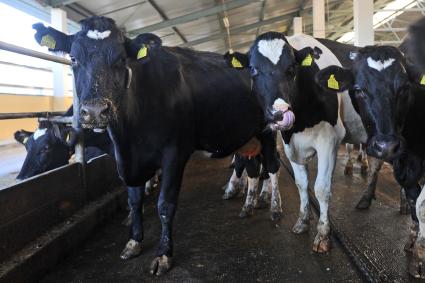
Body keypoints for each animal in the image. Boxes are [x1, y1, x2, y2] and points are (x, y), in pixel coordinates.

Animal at [314, 42, 425, 278]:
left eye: (405, 88)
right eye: (358, 90)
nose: (385, 146)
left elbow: (421, 206)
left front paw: (420, 258)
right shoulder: (406, 164)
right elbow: (416, 203)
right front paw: (415, 242)